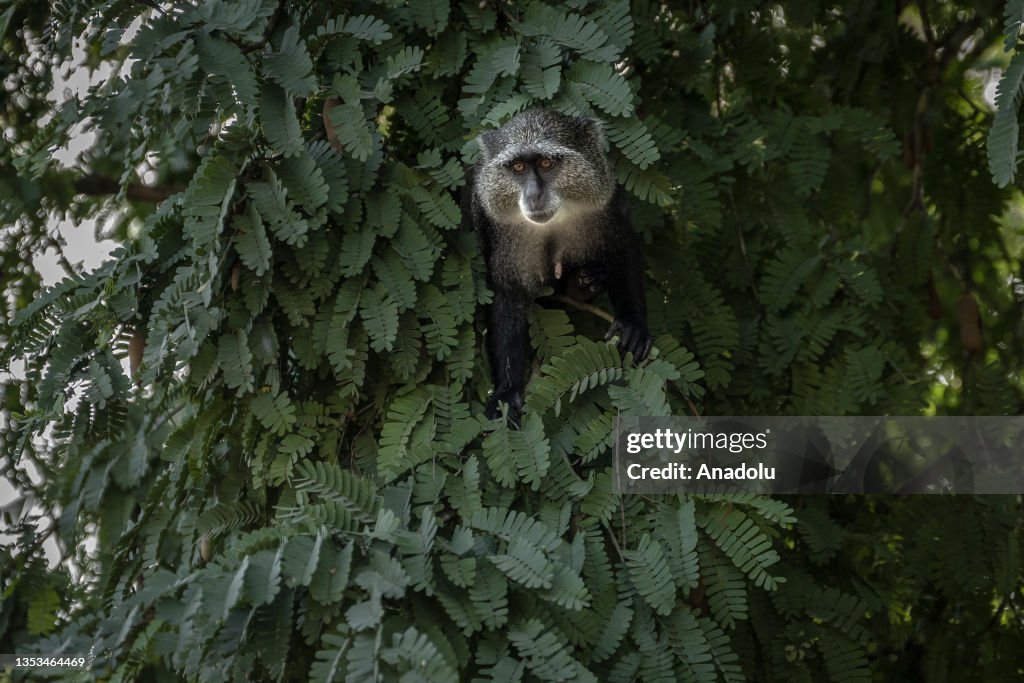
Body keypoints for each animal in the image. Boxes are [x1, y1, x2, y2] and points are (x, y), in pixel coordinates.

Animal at [466, 109, 651, 423]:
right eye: (517, 167)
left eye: (546, 163)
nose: (533, 194)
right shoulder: (500, 235)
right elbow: (506, 297)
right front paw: (507, 393)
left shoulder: (606, 200)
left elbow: (623, 247)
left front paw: (632, 323)